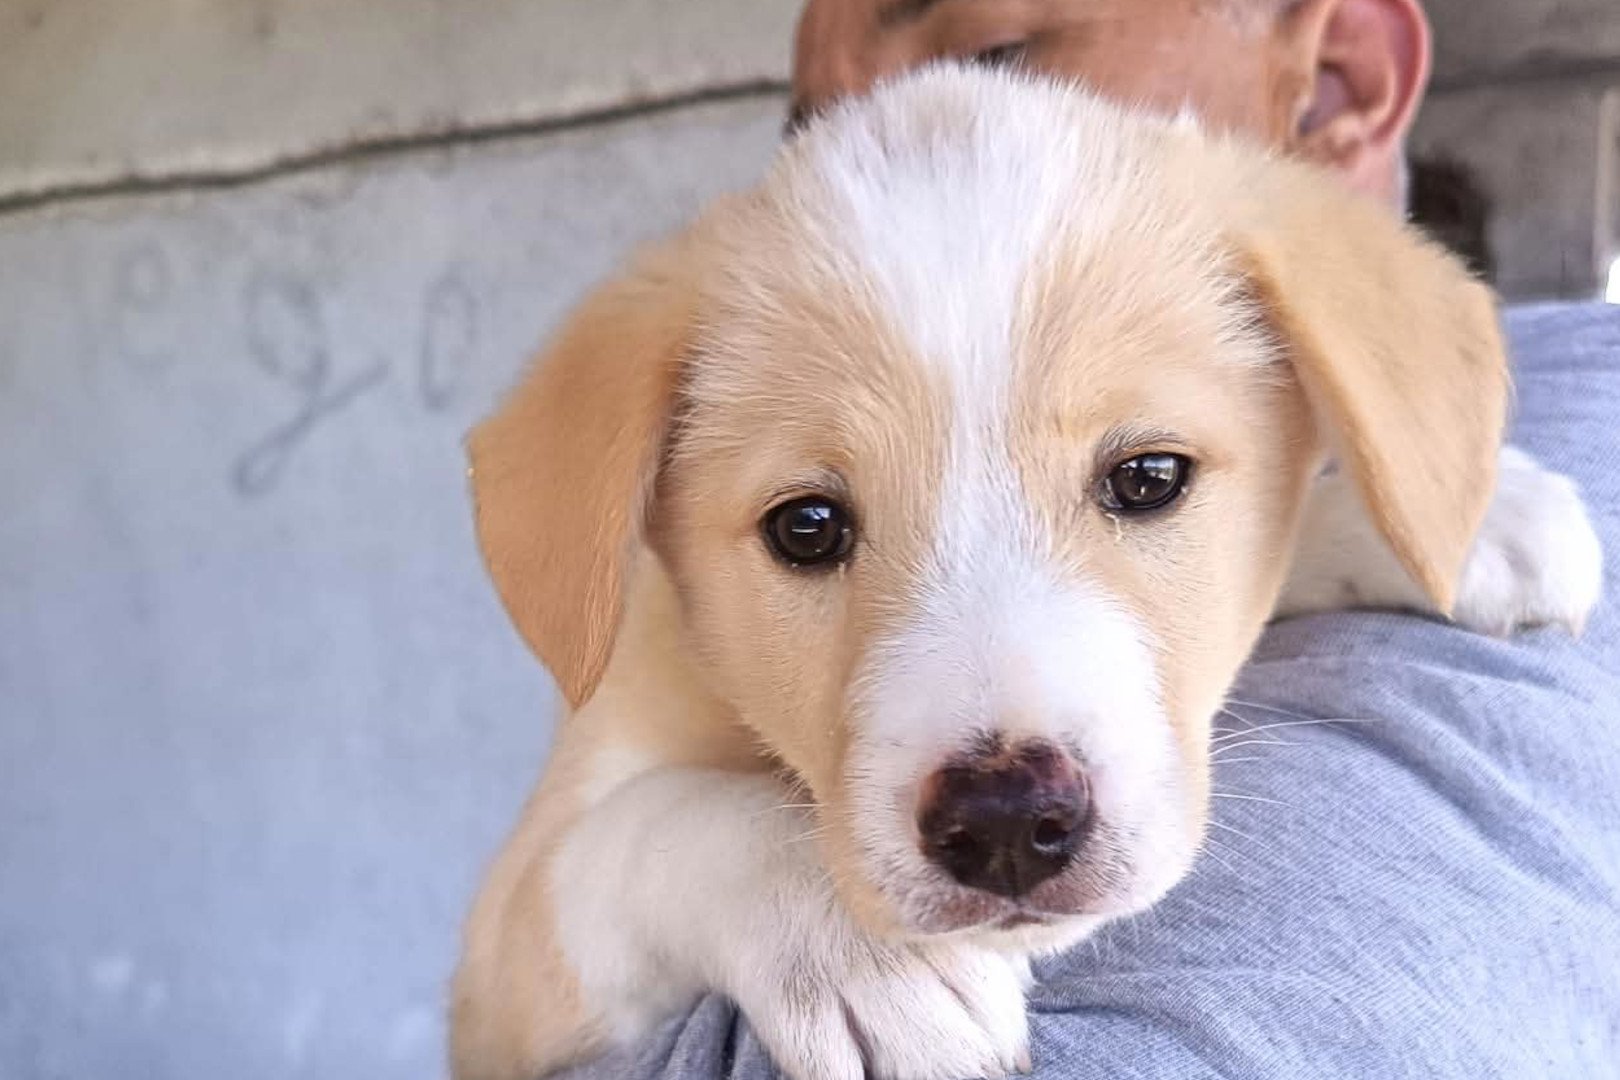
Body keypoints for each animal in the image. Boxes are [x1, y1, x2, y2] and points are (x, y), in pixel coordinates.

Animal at [449, 65, 1602, 1080]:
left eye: (1148, 476)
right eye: (808, 527)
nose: (1006, 821)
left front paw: (1478, 516)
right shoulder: (505, 954)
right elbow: (652, 824)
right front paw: (868, 960)